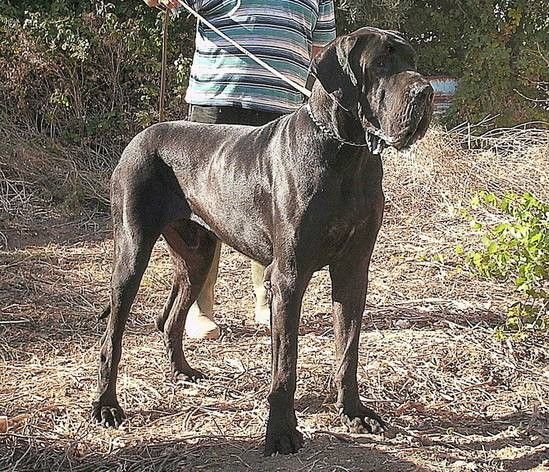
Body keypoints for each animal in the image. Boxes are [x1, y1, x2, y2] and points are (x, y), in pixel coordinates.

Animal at [92, 27, 434, 456]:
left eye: (411, 59)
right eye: (382, 62)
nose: (426, 91)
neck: (345, 154)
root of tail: (141, 135)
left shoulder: (353, 271)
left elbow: (348, 348)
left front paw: (354, 412)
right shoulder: (288, 278)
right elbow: (285, 362)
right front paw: (281, 431)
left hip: (197, 256)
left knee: (172, 318)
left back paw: (184, 372)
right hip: (131, 254)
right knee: (112, 339)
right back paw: (106, 405)